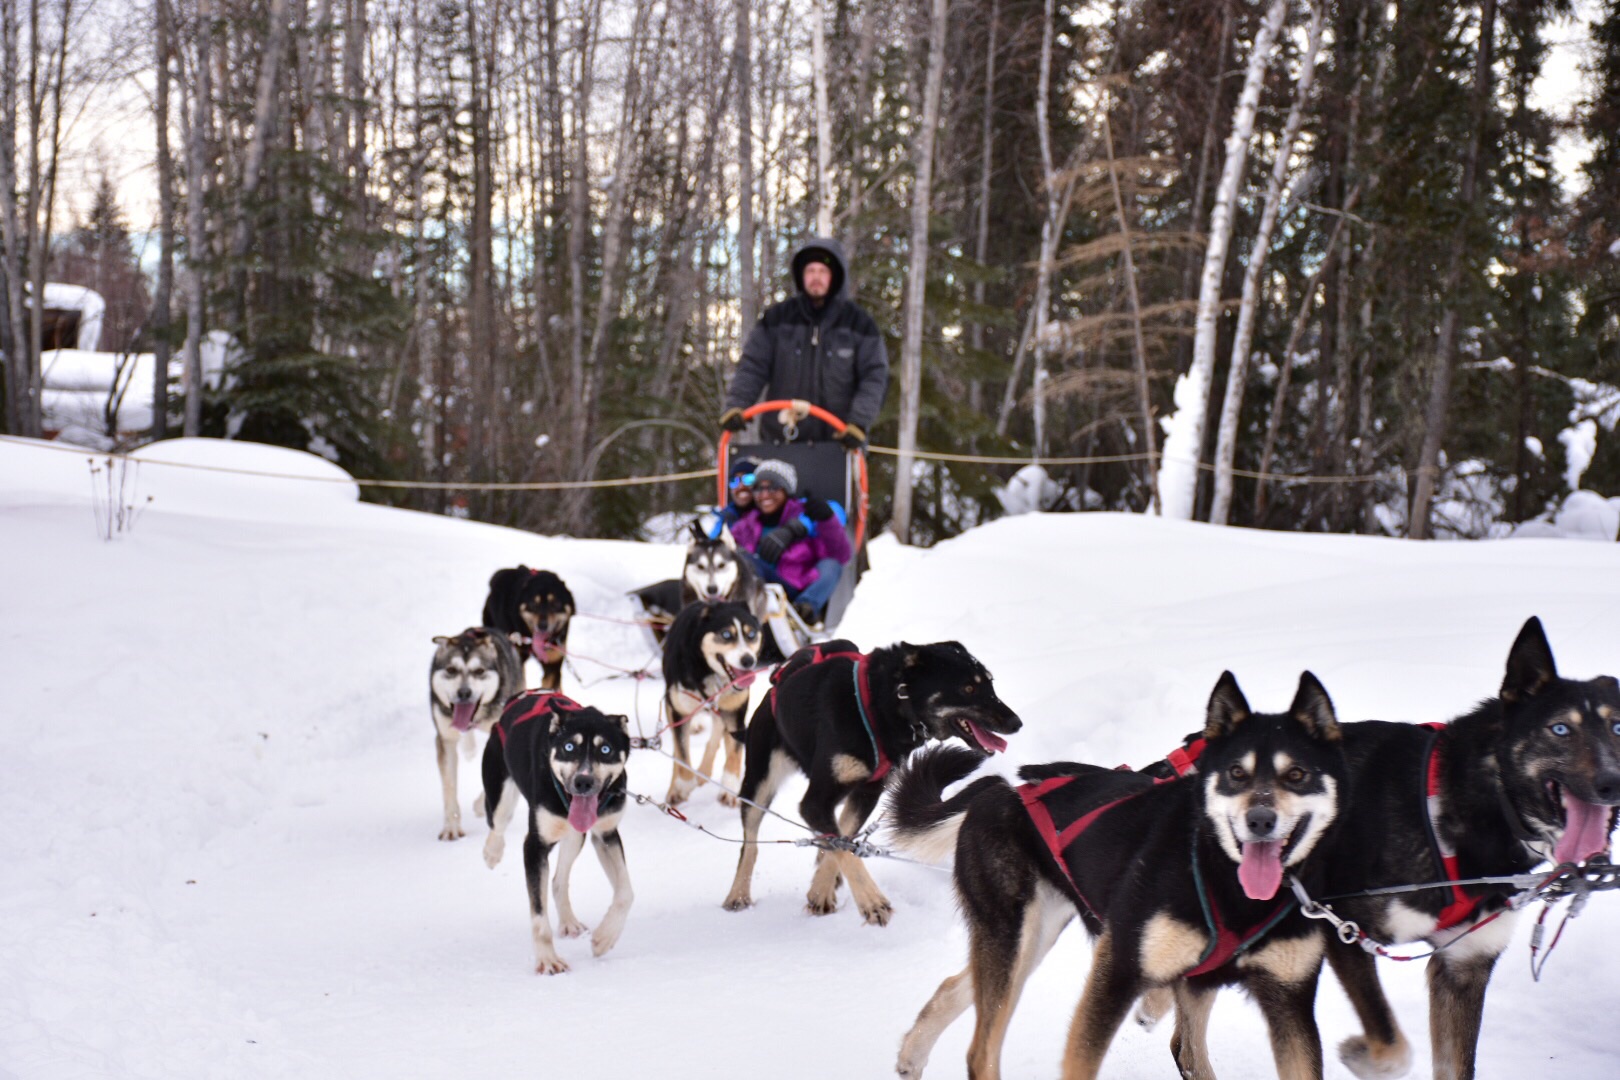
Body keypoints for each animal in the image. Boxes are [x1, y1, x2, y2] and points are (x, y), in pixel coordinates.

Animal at [479, 693, 631, 977]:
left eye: (605, 750)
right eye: (569, 747)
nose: (583, 781)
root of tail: (520, 697)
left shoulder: (605, 834)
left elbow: (625, 893)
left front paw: (605, 938)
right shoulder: (535, 846)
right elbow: (539, 917)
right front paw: (548, 960)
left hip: (575, 836)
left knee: (559, 879)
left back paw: (569, 922)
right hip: (501, 793)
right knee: (497, 823)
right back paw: (492, 852)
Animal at [725, 637, 1023, 926]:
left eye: (990, 683)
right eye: (968, 688)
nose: (1016, 722)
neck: (881, 708)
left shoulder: (866, 794)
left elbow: (843, 840)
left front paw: (821, 889)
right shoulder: (816, 801)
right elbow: (843, 848)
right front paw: (871, 900)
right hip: (759, 784)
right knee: (749, 843)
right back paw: (738, 893)